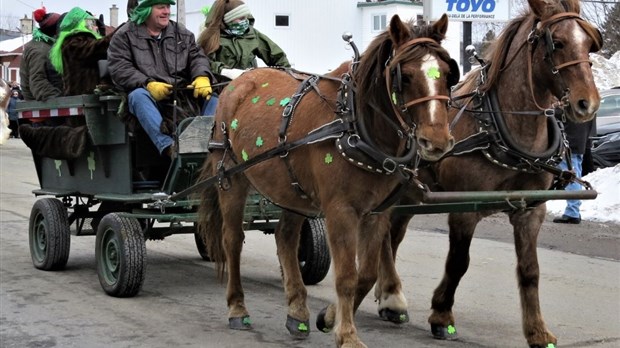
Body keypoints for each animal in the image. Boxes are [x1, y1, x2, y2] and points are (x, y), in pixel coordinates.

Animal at [199, 14, 460, 348]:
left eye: (448, 74)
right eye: (406, 76)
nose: (437, 141)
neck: (355, 125)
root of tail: (237, 82)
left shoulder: (377, 212)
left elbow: (367, 274)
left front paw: (328, 317)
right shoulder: (340, 211)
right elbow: (347, 275)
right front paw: (347, 334)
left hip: (291, 189)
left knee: (285, 237)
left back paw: (297, 311)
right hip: (231, 178)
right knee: (232, 240)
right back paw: (237, 307)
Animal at [368, 0, 600, 348]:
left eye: (589, 42)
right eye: (556, 43)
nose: (588, 103)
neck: (504, 128)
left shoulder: (531, 209)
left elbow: (530, 270)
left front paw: (537, 331)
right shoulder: (465, 208)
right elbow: (458, 262)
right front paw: (441, 315)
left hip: (409, 194)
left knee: (392, 236)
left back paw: (386, 293)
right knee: (383, 234)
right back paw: (393, 296)